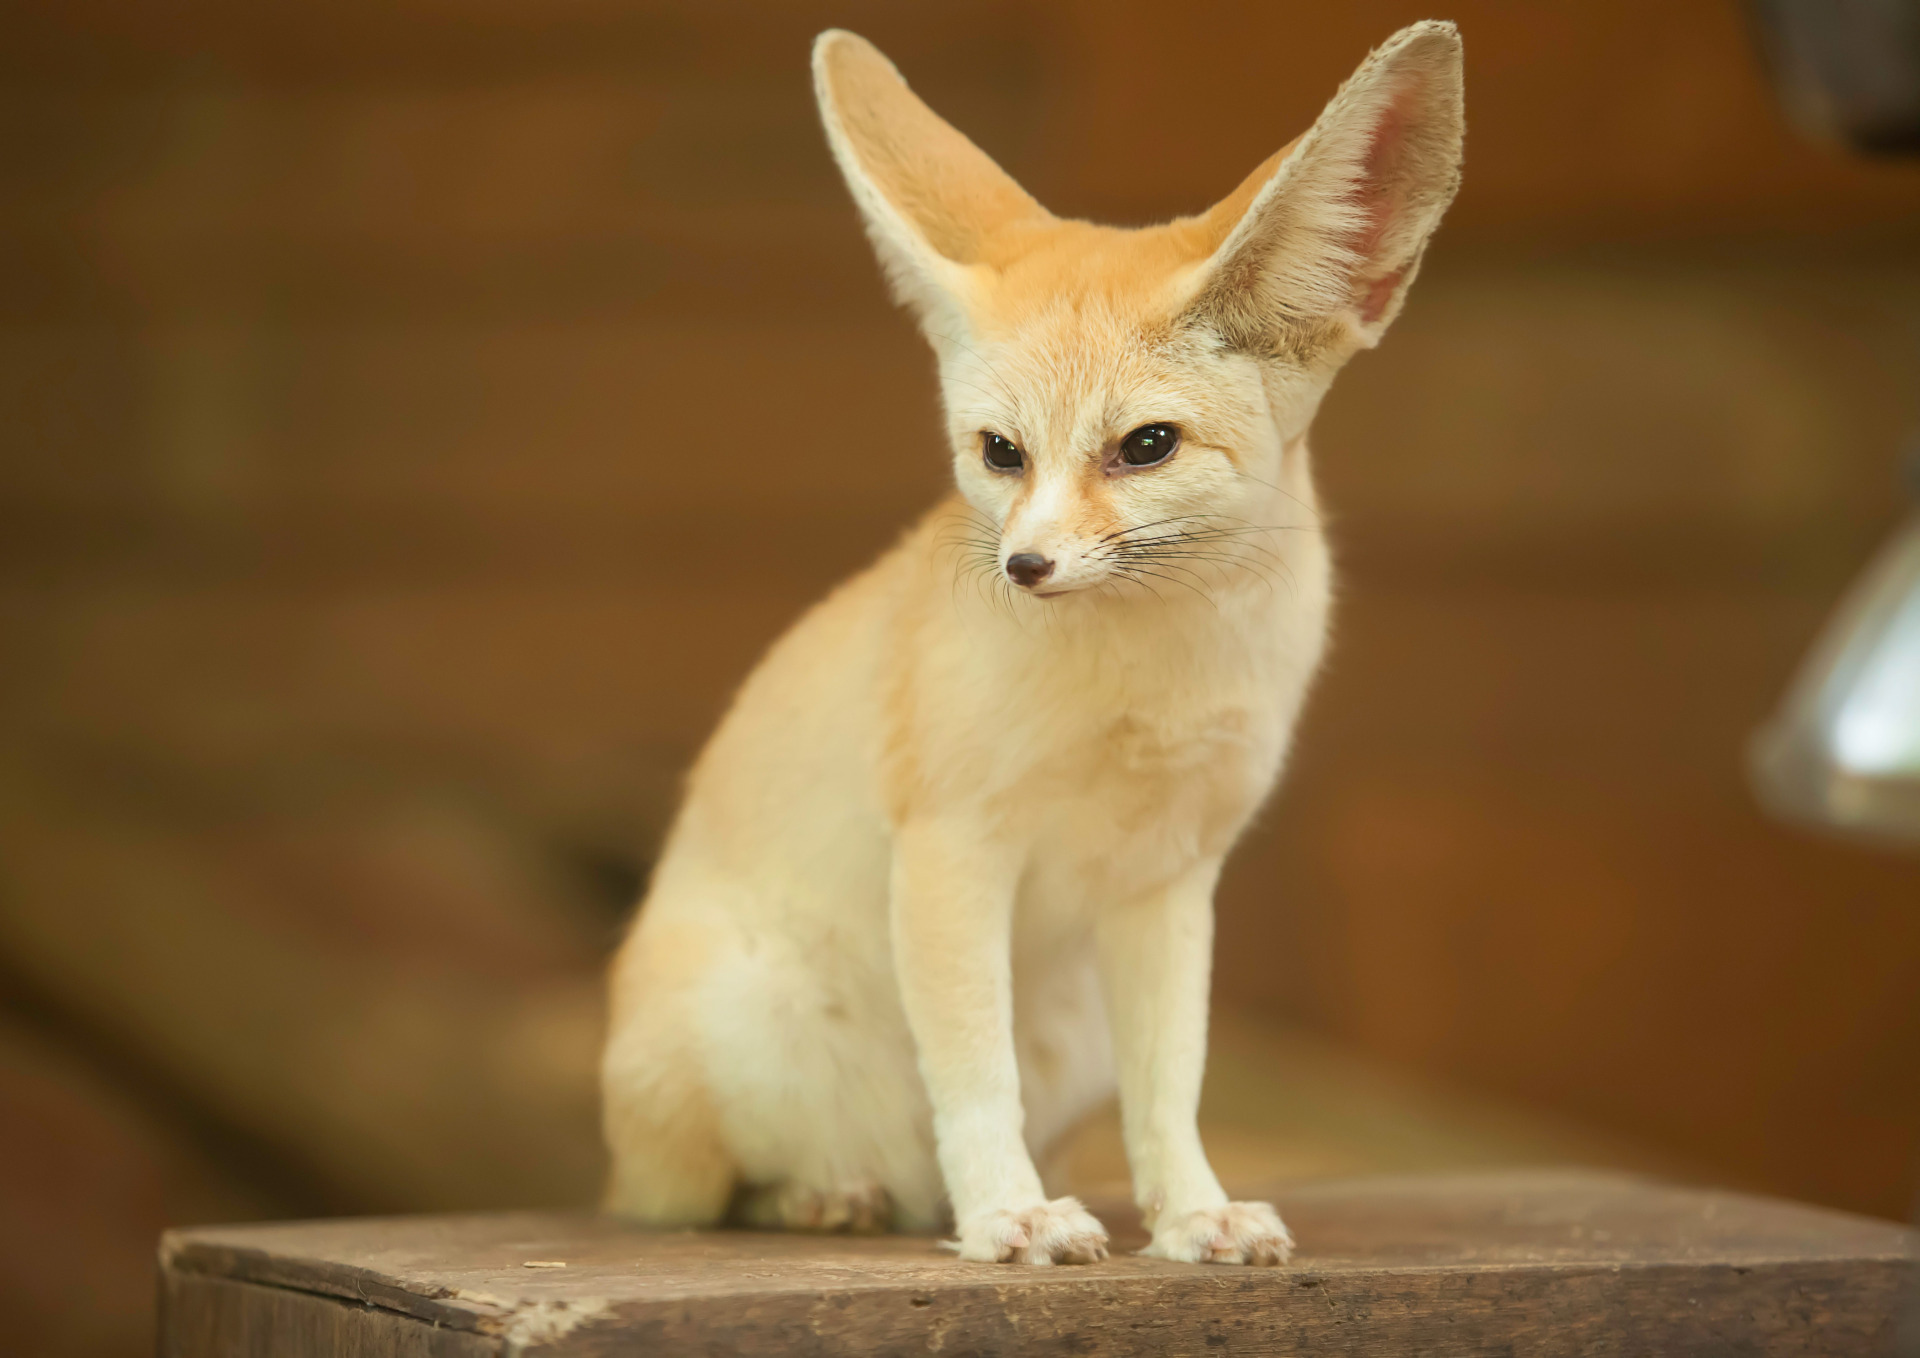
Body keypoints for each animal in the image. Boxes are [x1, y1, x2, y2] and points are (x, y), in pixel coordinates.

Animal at [602, 22, 1464, 1266]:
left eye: (1146, 445)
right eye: (1000, 451)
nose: (1026, 565)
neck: (1149, 676)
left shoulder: (1170, 878)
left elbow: (1173, 1080)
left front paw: (1191, 1212)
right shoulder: (953, 844)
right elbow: (972, 1071)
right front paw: (1008, 1212)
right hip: (741, 1034)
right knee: (698, 1195)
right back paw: (831, 1195)